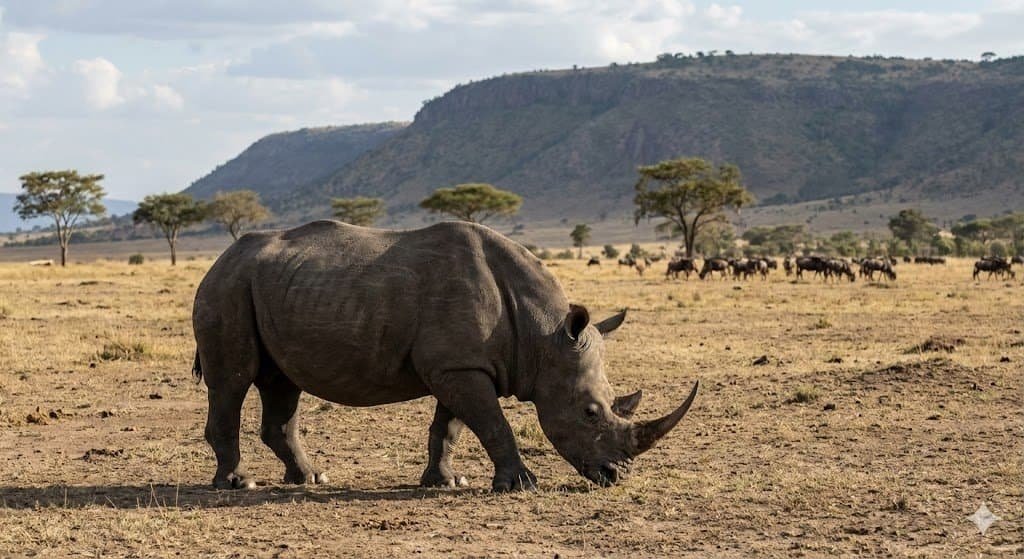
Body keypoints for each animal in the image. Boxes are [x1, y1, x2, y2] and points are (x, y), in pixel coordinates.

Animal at [192, 220, 698, 492]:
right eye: (591, 412)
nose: (617, 475)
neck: (544, 335)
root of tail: (221, 257)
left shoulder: (458, 364)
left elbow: (450, 428)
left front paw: (446, 482)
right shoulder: (459, 367)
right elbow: (494, 424)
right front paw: (521, 485)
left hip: (275, 287)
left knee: (282, 383)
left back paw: (312, 479)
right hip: (227, 286)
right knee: (232, 381)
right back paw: (237, 484)